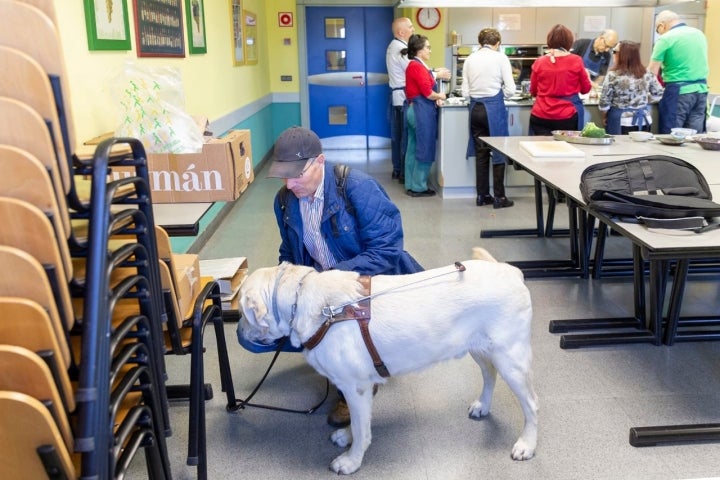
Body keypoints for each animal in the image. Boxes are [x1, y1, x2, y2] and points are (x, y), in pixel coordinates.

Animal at [239, 256, 536, 474]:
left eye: (242, 312)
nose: (239, 330)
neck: (323, 310)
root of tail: (512, 271)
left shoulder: (356, 387)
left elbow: (362, 431)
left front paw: (351, 460)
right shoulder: (359, 389)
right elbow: (359, 423)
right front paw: (346, 437)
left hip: (510, 358)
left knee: (531, 405)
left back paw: (527, 444)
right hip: (480, 348)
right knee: (489, 375)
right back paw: (482, 405)